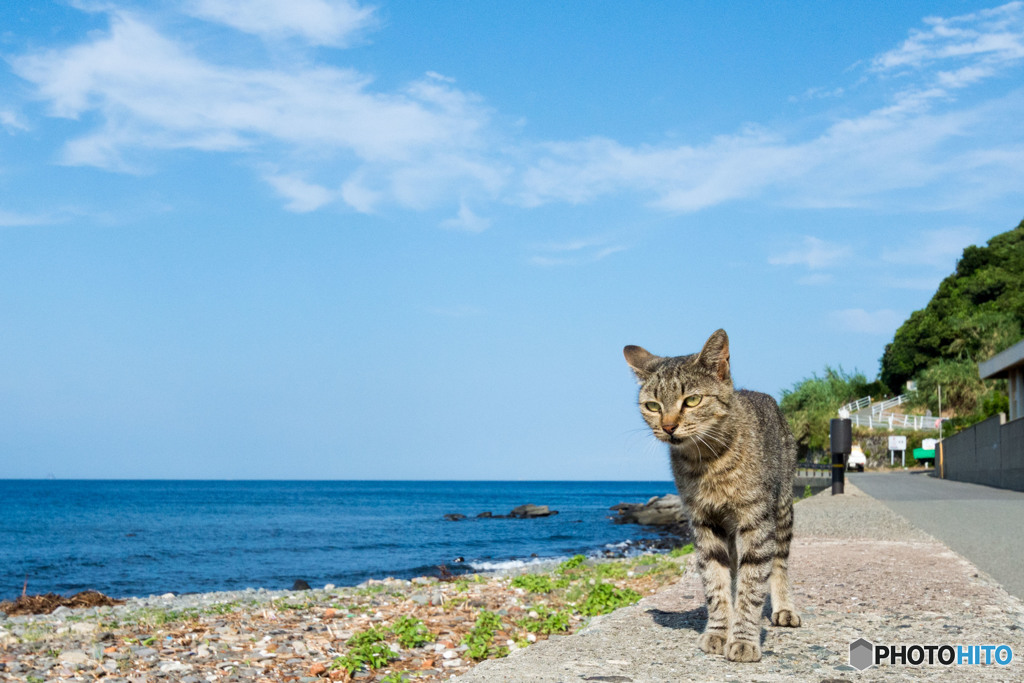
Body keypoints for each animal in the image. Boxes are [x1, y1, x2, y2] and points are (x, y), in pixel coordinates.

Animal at [622, 331, 798, 663]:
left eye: (692, 400)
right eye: (652, 406)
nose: (668, 426)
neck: (706, 462)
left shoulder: (756, 521)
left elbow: (753, 584)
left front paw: (743, 638)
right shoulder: (704, 523)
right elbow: (716, 584)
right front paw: (719, 631)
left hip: (782, 509)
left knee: (779, 563)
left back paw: (784, 608)